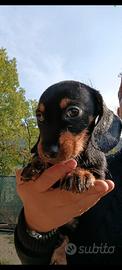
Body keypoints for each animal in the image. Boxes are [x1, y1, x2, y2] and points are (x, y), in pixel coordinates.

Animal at [20, 79, 121, 264]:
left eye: (73, 112)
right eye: (39, 115)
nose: (47, 152)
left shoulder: (100, 171)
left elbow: (92, 171)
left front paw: (79, 174)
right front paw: (36, 165)